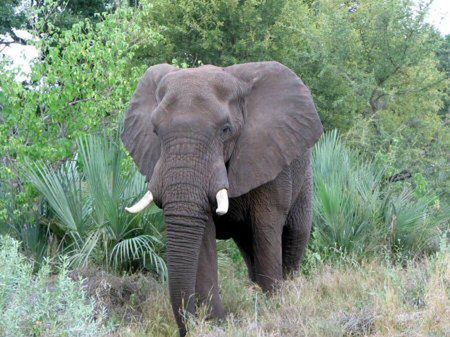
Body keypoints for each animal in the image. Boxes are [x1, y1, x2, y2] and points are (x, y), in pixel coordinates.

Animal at [121, 61, 322, 336]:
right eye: (155, 131)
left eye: (225, 130)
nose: (190, 324)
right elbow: (204, 236)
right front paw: (217, 324)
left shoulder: (269, 156)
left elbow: (267, 227)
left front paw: (273, 309)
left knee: (294, 235)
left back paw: (288, 292)